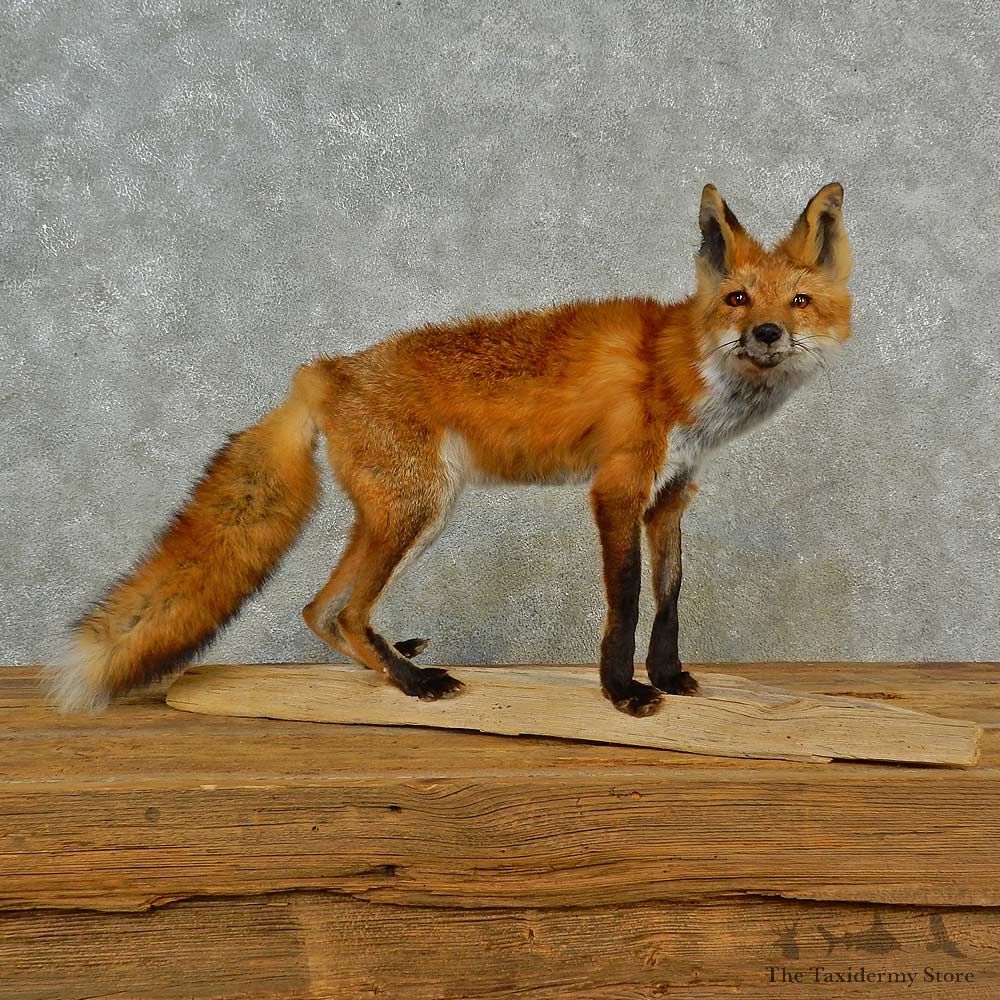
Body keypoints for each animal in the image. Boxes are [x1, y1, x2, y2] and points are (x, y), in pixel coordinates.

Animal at [47, 182, 852, 717]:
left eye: (799, 302)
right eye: (739, 299)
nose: (768, 333)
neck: (685, 369)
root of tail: (324, 370)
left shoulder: (671, 497)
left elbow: (669, 599)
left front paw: (671, 675)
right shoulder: (617, 490)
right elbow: (624, 603)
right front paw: (622, 691)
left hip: (407, 516)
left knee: (318, 610)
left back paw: (392, 666)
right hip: (415, 511)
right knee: (339, 612)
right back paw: (413, 684)